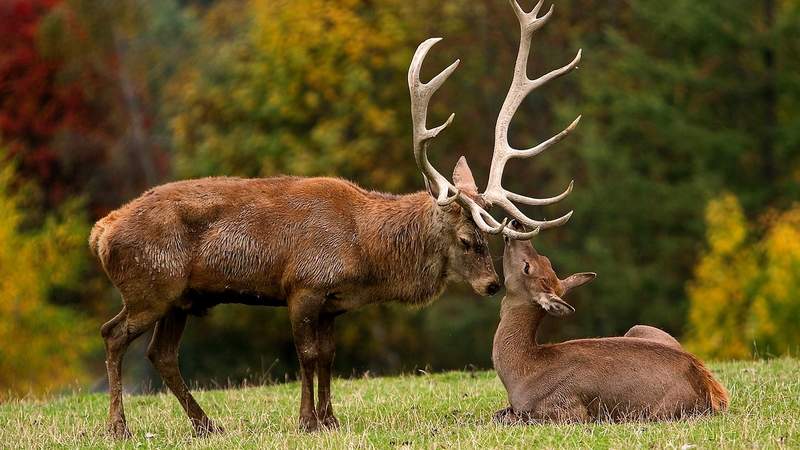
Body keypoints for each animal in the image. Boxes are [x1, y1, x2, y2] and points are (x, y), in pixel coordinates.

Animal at [90, 0, 584, 438]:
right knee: (113, 334)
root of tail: (101, 232)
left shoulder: (332, 302)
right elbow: (308, 355)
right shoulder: (302, 285)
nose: (492, 285)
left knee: (161, 354)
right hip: (149, 286)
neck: (363, 250)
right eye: (466, 239)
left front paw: (330, 419)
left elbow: (328, 355)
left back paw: (207, 425)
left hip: (180, 298)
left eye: (488, 239)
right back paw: (119, 427)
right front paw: (307, 421)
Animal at [490, 223, 728, 424]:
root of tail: (714, 393)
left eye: (527, 267)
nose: (517, 224)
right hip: (640, 328)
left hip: (660, 411)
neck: (522, 373)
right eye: (546, 260)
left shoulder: (565, 409)